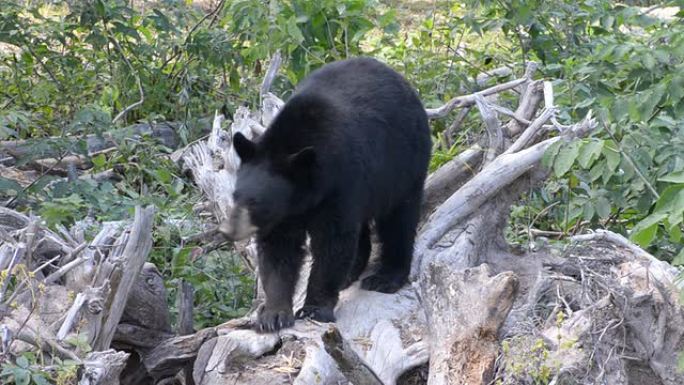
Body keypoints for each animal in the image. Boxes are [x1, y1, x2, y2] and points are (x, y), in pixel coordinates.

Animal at [222, 56, 430, 330]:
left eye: (255, 202)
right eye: (235, 195)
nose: (228, 231)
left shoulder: (342, 181)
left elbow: (333, 241)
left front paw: (315, 308)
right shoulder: (285, 214)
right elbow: (279, 250)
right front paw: (273, 314)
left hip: (404, 163)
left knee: (399, 219)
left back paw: (386, 276)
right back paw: (351, 273)